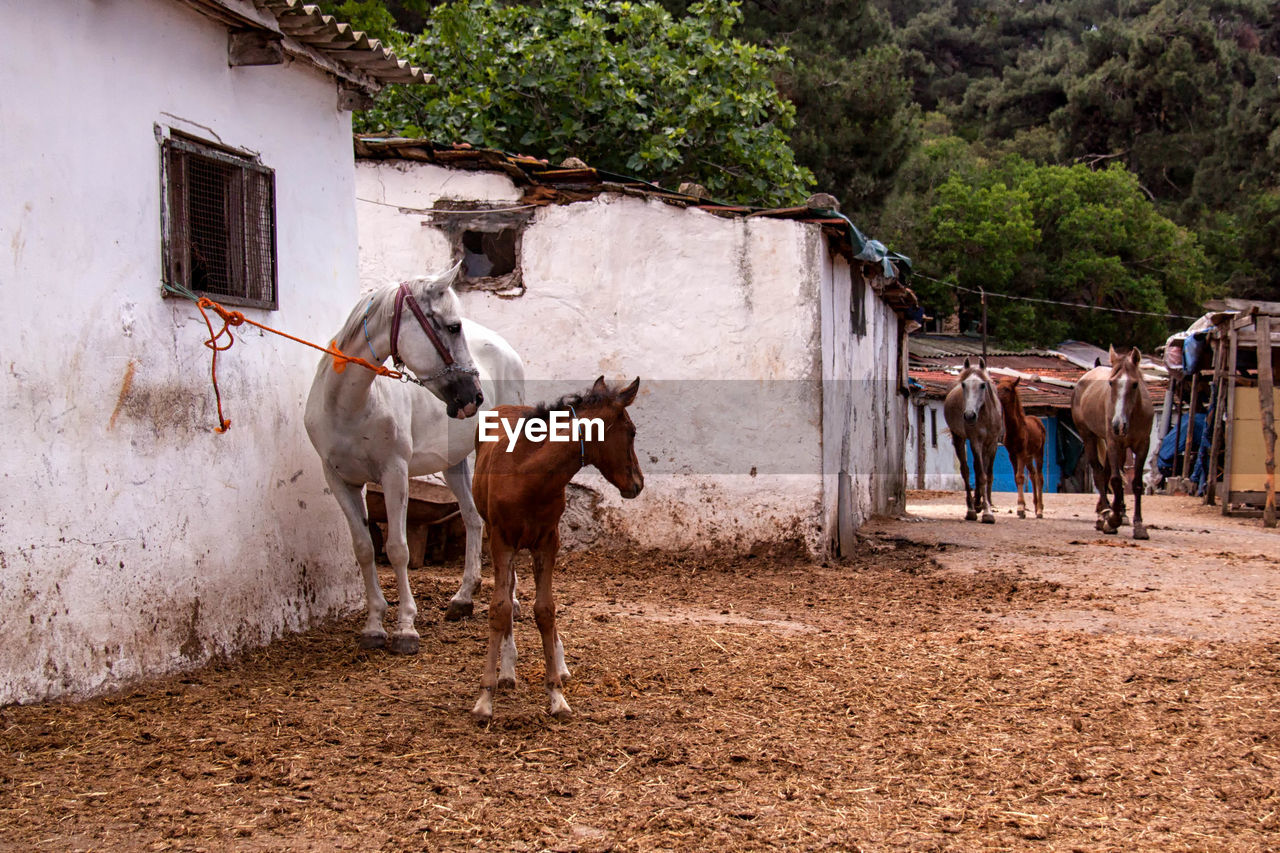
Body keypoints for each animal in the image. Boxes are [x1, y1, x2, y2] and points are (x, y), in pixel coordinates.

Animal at [304, 263, 524, 650]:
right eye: (452, 327)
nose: (474, 397)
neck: (350, 404)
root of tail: (508, 350)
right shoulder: (341, 480)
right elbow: (364, 548)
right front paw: (374, 625)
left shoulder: (394, 473)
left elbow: (397, 548)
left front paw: (405, 627)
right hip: (454, 464)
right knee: (473, 519)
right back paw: (463, 599)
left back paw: (509, 600)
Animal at [468, 376, 640, 722]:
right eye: (631, 432)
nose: (638, 484)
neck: (529, 475)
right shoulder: (501, 540)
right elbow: (499, 608)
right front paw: (485, 698)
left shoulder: (548, 542)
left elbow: (546, 610)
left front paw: (556, 695)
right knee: (509, 594)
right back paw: (508, 670)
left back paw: (557, 666)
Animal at [947, 356, 1003, 522]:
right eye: (964, 384)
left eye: (983, 385)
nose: (970, 415)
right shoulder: (975, 441)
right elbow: (980, 475)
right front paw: (986, 512)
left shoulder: (992, 443)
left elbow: (987, 474)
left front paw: (986, 505)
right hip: (958, 438)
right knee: (965, 470)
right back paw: (971, 509)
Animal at [1064, 343, 1157, 532]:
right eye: (1111, 383)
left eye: (1135, 384)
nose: (1118, 425)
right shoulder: (1114, 443)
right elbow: (1115, 479)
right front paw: (1113, 518)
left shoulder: (1142, 445)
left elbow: (1135, 482)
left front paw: (1137, 522)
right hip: (1089, 437)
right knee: (1099, 472)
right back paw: (1105, 513)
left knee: (1106, 472)